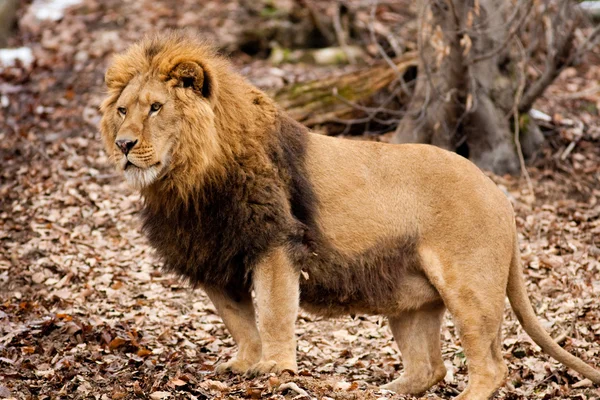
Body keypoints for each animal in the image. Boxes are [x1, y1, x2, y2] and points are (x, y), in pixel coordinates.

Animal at [99, 32, 600, 400]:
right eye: (122, 110)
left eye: (156, 108)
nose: (124, 144)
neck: (188, 182)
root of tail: (499, 194)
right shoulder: (213, 256)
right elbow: (239, 321)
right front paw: (244, 365)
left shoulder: (275, 242)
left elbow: (274, 314)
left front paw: (274, 370)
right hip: (411, 300)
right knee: (430, 368)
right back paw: (389, 391)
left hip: (469, 284)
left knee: (492, 366)